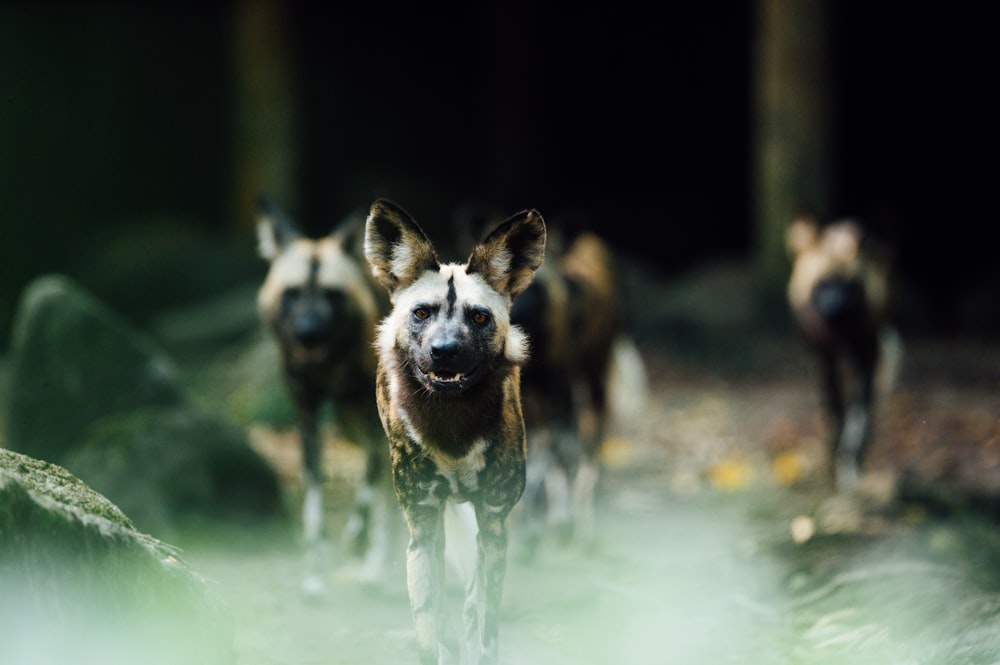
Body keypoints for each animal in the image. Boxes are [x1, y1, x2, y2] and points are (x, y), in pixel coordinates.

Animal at [254, 195, 398, 592]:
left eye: (333, 295)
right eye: (291, 294)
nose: (308, 333)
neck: (329, 366)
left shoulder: (374, 420)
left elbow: (367, 492)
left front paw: (356, 540)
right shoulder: (308, 419)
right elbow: (314, 505)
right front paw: (316, 572)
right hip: (349, 426)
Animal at [364, 197, 544, 664]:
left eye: (478, 317)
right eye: (421, 313)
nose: (444, 351)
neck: (452, 427)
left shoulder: (494, 524)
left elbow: (485, 630)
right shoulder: (424, 530)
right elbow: (432, 629)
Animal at [784, 213, 904, 492]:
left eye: (851, 286)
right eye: (822, 284)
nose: (835, 306)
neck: (841, 334)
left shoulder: (867, 356)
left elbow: (858, 418)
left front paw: (851, 462)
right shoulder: (824, 358)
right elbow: (835, 410)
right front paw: (836, 454)